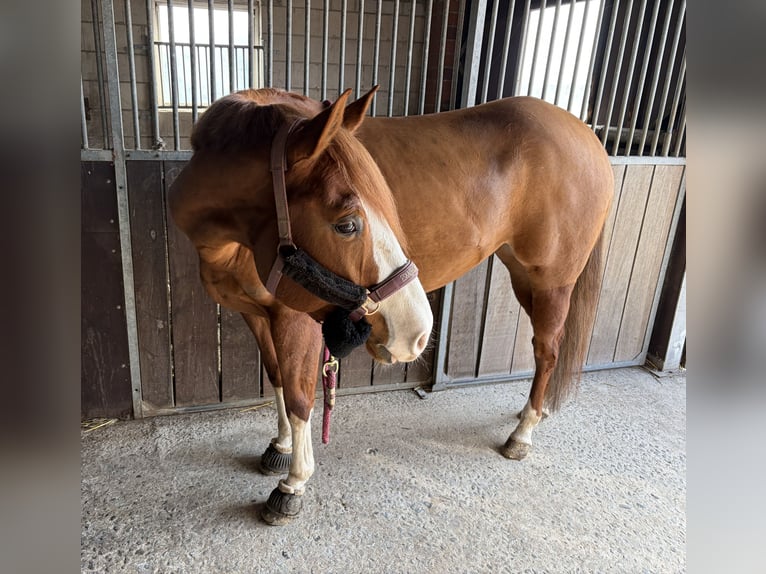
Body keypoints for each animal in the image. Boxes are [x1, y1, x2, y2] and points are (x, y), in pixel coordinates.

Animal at [169, 86, 613, 525]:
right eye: (347, 224)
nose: (417, 333)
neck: (231, 241)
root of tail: (586, 135)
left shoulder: (294, 319)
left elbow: (299, 398)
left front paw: (293, 484)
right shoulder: (255, 314)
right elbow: (276, 378)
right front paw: (280, 446)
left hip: (551, 280)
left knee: (547, 350)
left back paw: (523, 433)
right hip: (522, 275)